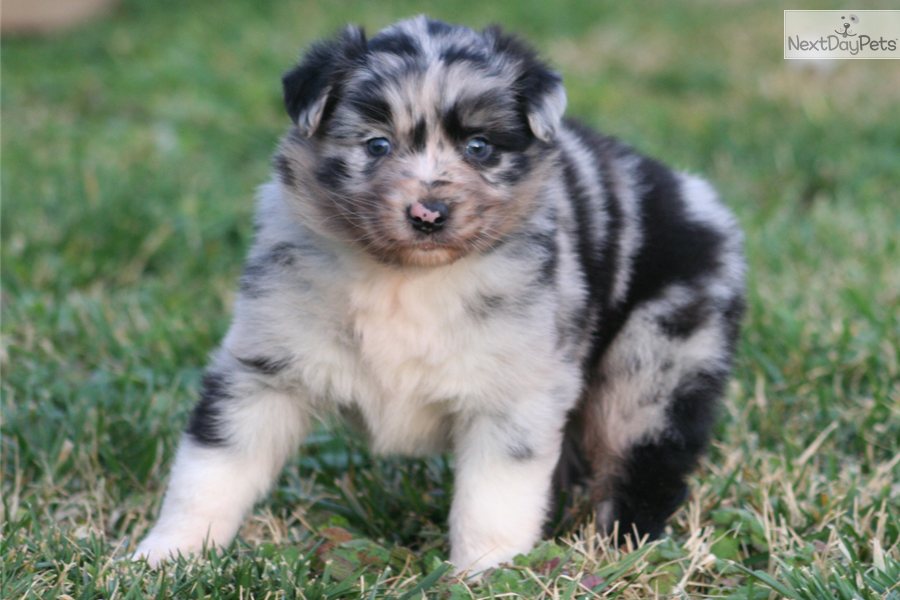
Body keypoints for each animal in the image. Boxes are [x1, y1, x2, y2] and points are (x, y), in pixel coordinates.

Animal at [135, 16, 744, 576]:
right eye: (377, 144)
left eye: (479, 147)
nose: (429, 214)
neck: (406, 280)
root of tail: (698, 199)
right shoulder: (263, 367)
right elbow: (212, 467)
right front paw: (168, 553)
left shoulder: (514, 393)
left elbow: (492, 501)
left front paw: (488, 573)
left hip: (654, 364)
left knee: (644, 460)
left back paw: (621, 549)